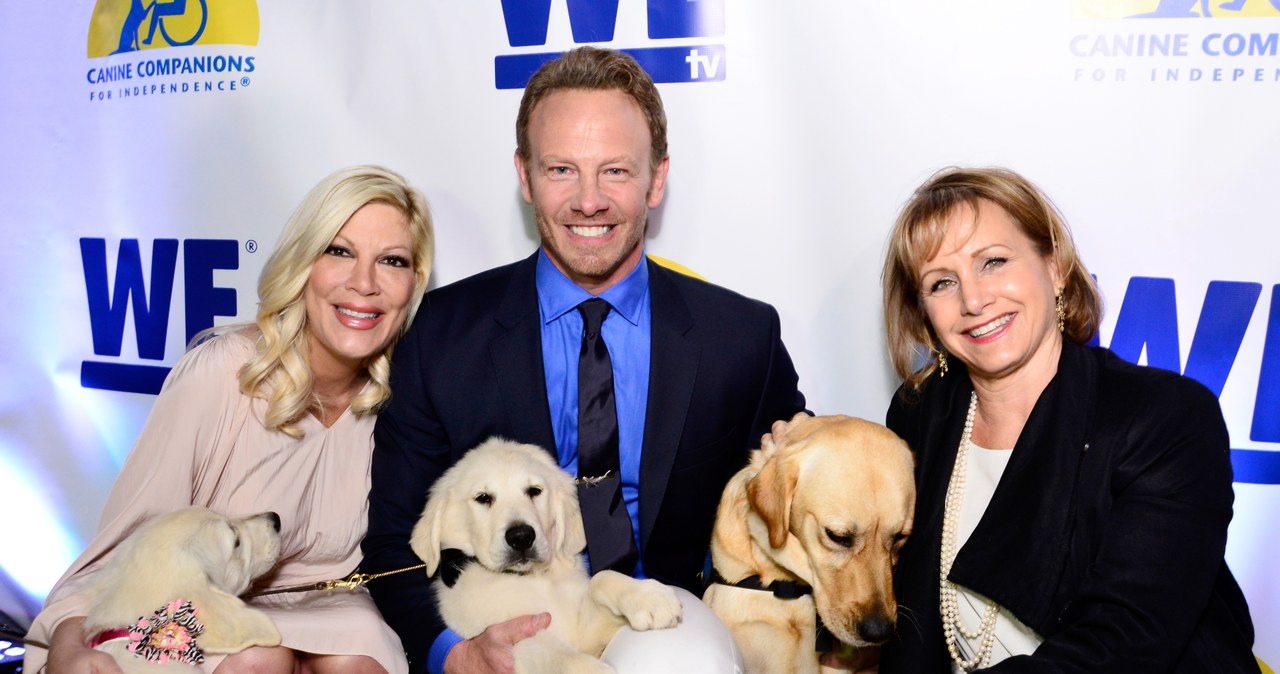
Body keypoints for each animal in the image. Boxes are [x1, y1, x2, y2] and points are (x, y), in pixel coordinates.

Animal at [414, 437, 686, 674]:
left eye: (534, 491)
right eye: (483, 498)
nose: (521, 537)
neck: (532, 578)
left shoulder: (583, 635)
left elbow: (601, 579)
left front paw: (647, 597)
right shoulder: (511, 641)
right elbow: (562, 657)